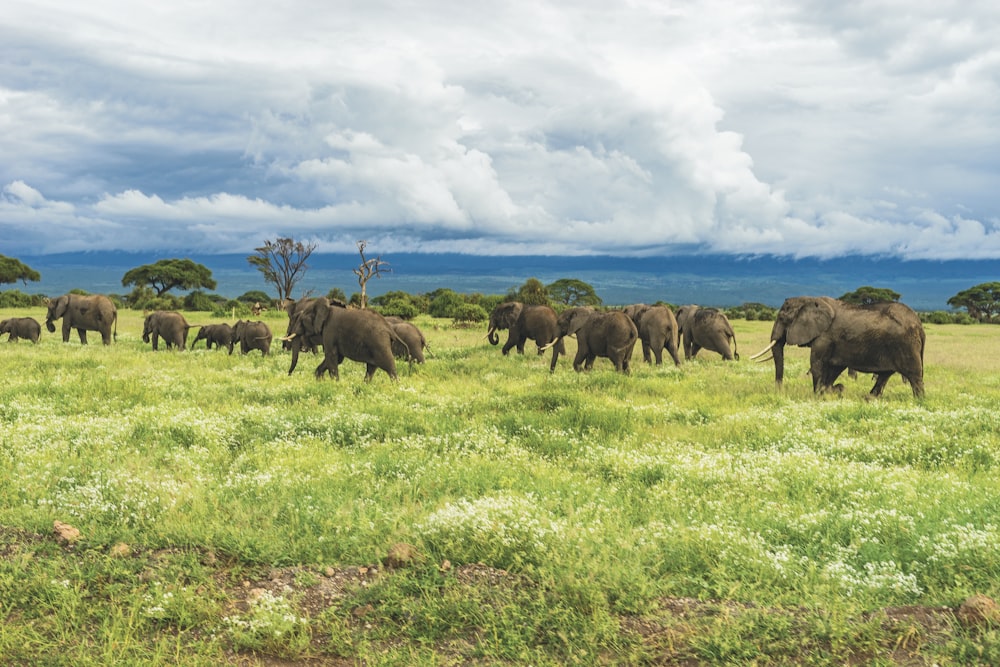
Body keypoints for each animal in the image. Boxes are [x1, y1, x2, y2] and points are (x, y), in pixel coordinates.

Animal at [748, 296, 924, 400]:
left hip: (905, 344)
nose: (779, 392)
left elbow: (817, 364)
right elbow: (834, 367)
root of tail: (920, 325)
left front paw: (819, 396)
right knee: (885, 375)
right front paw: (835, 390)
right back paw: (869, 398)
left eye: (783, 318)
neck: (809, 300)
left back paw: (919, 401)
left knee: (914, 376)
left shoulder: (825, 337)